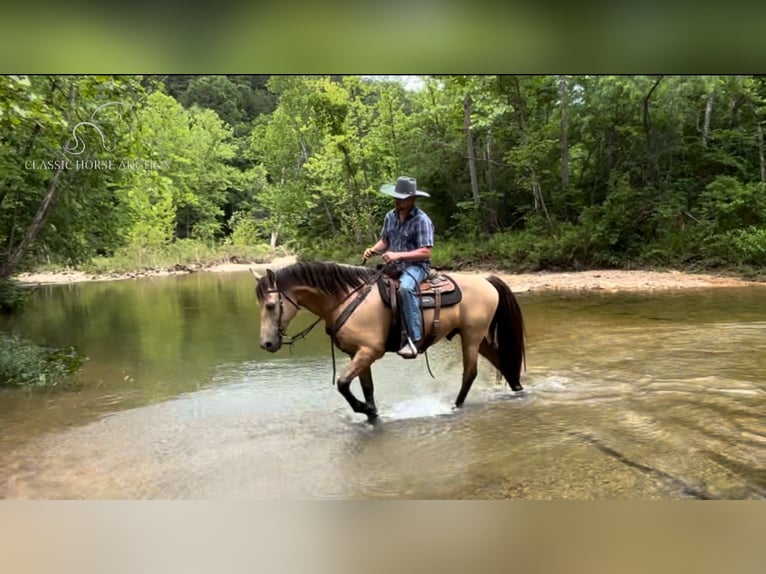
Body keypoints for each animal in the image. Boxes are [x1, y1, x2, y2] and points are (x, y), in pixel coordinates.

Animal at [255, 264, 524, 426]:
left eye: (271, 305)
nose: (266, 343)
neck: (348, 300)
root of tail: (486, 280)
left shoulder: (369, 351)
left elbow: (342, 383)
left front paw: (364, 409)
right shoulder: (358, 354)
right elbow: (367, 388)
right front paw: (372, 414)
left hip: (471, 336)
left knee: (470, 372)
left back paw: (454, 407)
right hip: (475, 337)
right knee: (500, 360)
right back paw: (517, 389)